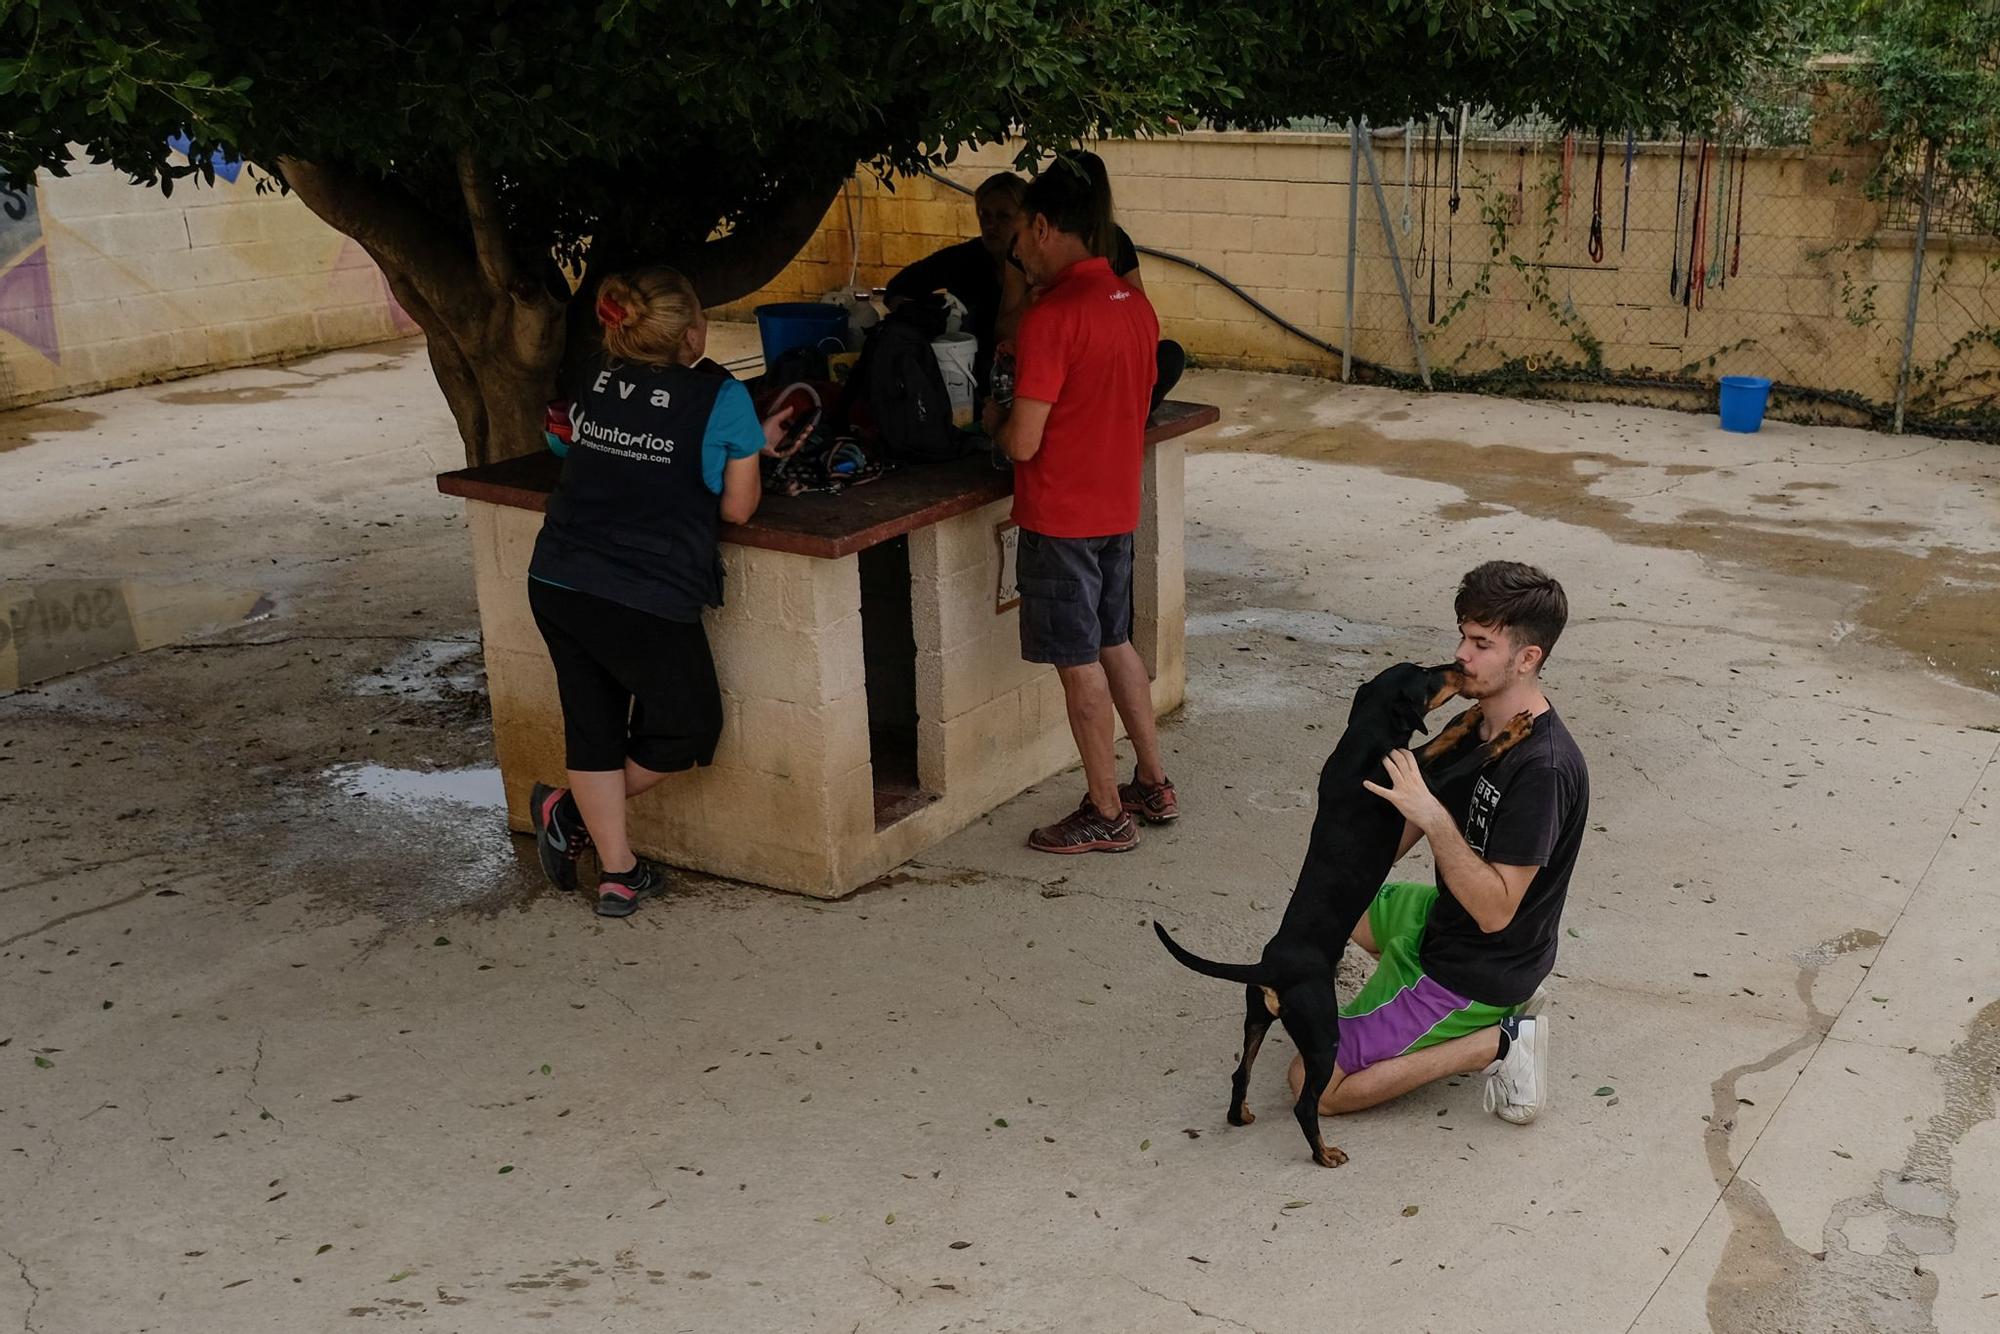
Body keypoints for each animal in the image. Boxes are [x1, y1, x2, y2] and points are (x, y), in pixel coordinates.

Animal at [1160, 664, 1528, 1168]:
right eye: (1428, 677)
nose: (1457, 667)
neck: (1362, 742)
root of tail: (1267, 968)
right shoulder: (1423, 790)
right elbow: (1464, 757)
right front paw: (1508, 732)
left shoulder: (1411, 763)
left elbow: (1436, 741)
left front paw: (1469, 718)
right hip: (1322, 1037)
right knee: (1305, 1105)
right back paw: (1325, 1154)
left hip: (1257, 1017)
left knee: (1240, 1074)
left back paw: (1242, 1116)